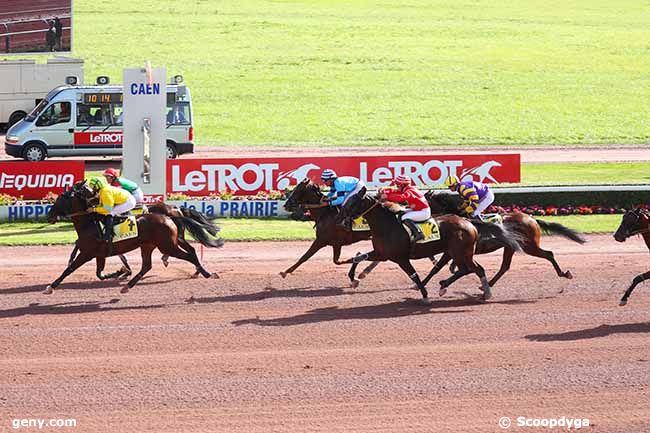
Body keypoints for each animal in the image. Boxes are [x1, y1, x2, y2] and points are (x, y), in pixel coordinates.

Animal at [45, 181, 223, 296]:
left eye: (60, 199)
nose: (49, 215)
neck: (89, 224)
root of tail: (171, 214)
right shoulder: (99, 254)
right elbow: (99, 273)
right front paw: (121, 271)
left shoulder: (87, 253)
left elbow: (69, 269)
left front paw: (51, 286)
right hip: (153, 244)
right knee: (148, 265)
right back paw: (127, 286)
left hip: (168, 245)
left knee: (189, 255)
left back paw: (206, 273)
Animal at [342, 191, 520, 302]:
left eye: (352, 202)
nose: (342, 219)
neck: (387, 225)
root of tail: (468, 222)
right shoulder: (382, 253)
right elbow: (358, 257)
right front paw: (354, 279)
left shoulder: (400, 258)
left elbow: (414, 274)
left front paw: (425, 295)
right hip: (458, 252)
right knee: (472, 269)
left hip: (461, 252)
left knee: (472, 269)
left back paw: (483, 292)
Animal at [422, 192, 584, 286]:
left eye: (425, 200)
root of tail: (531, 219)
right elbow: (441, 266)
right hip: (511, 247)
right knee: (505, 266)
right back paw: (488, 285)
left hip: (528, 246)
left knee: (549, 254)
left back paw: (564, 273)